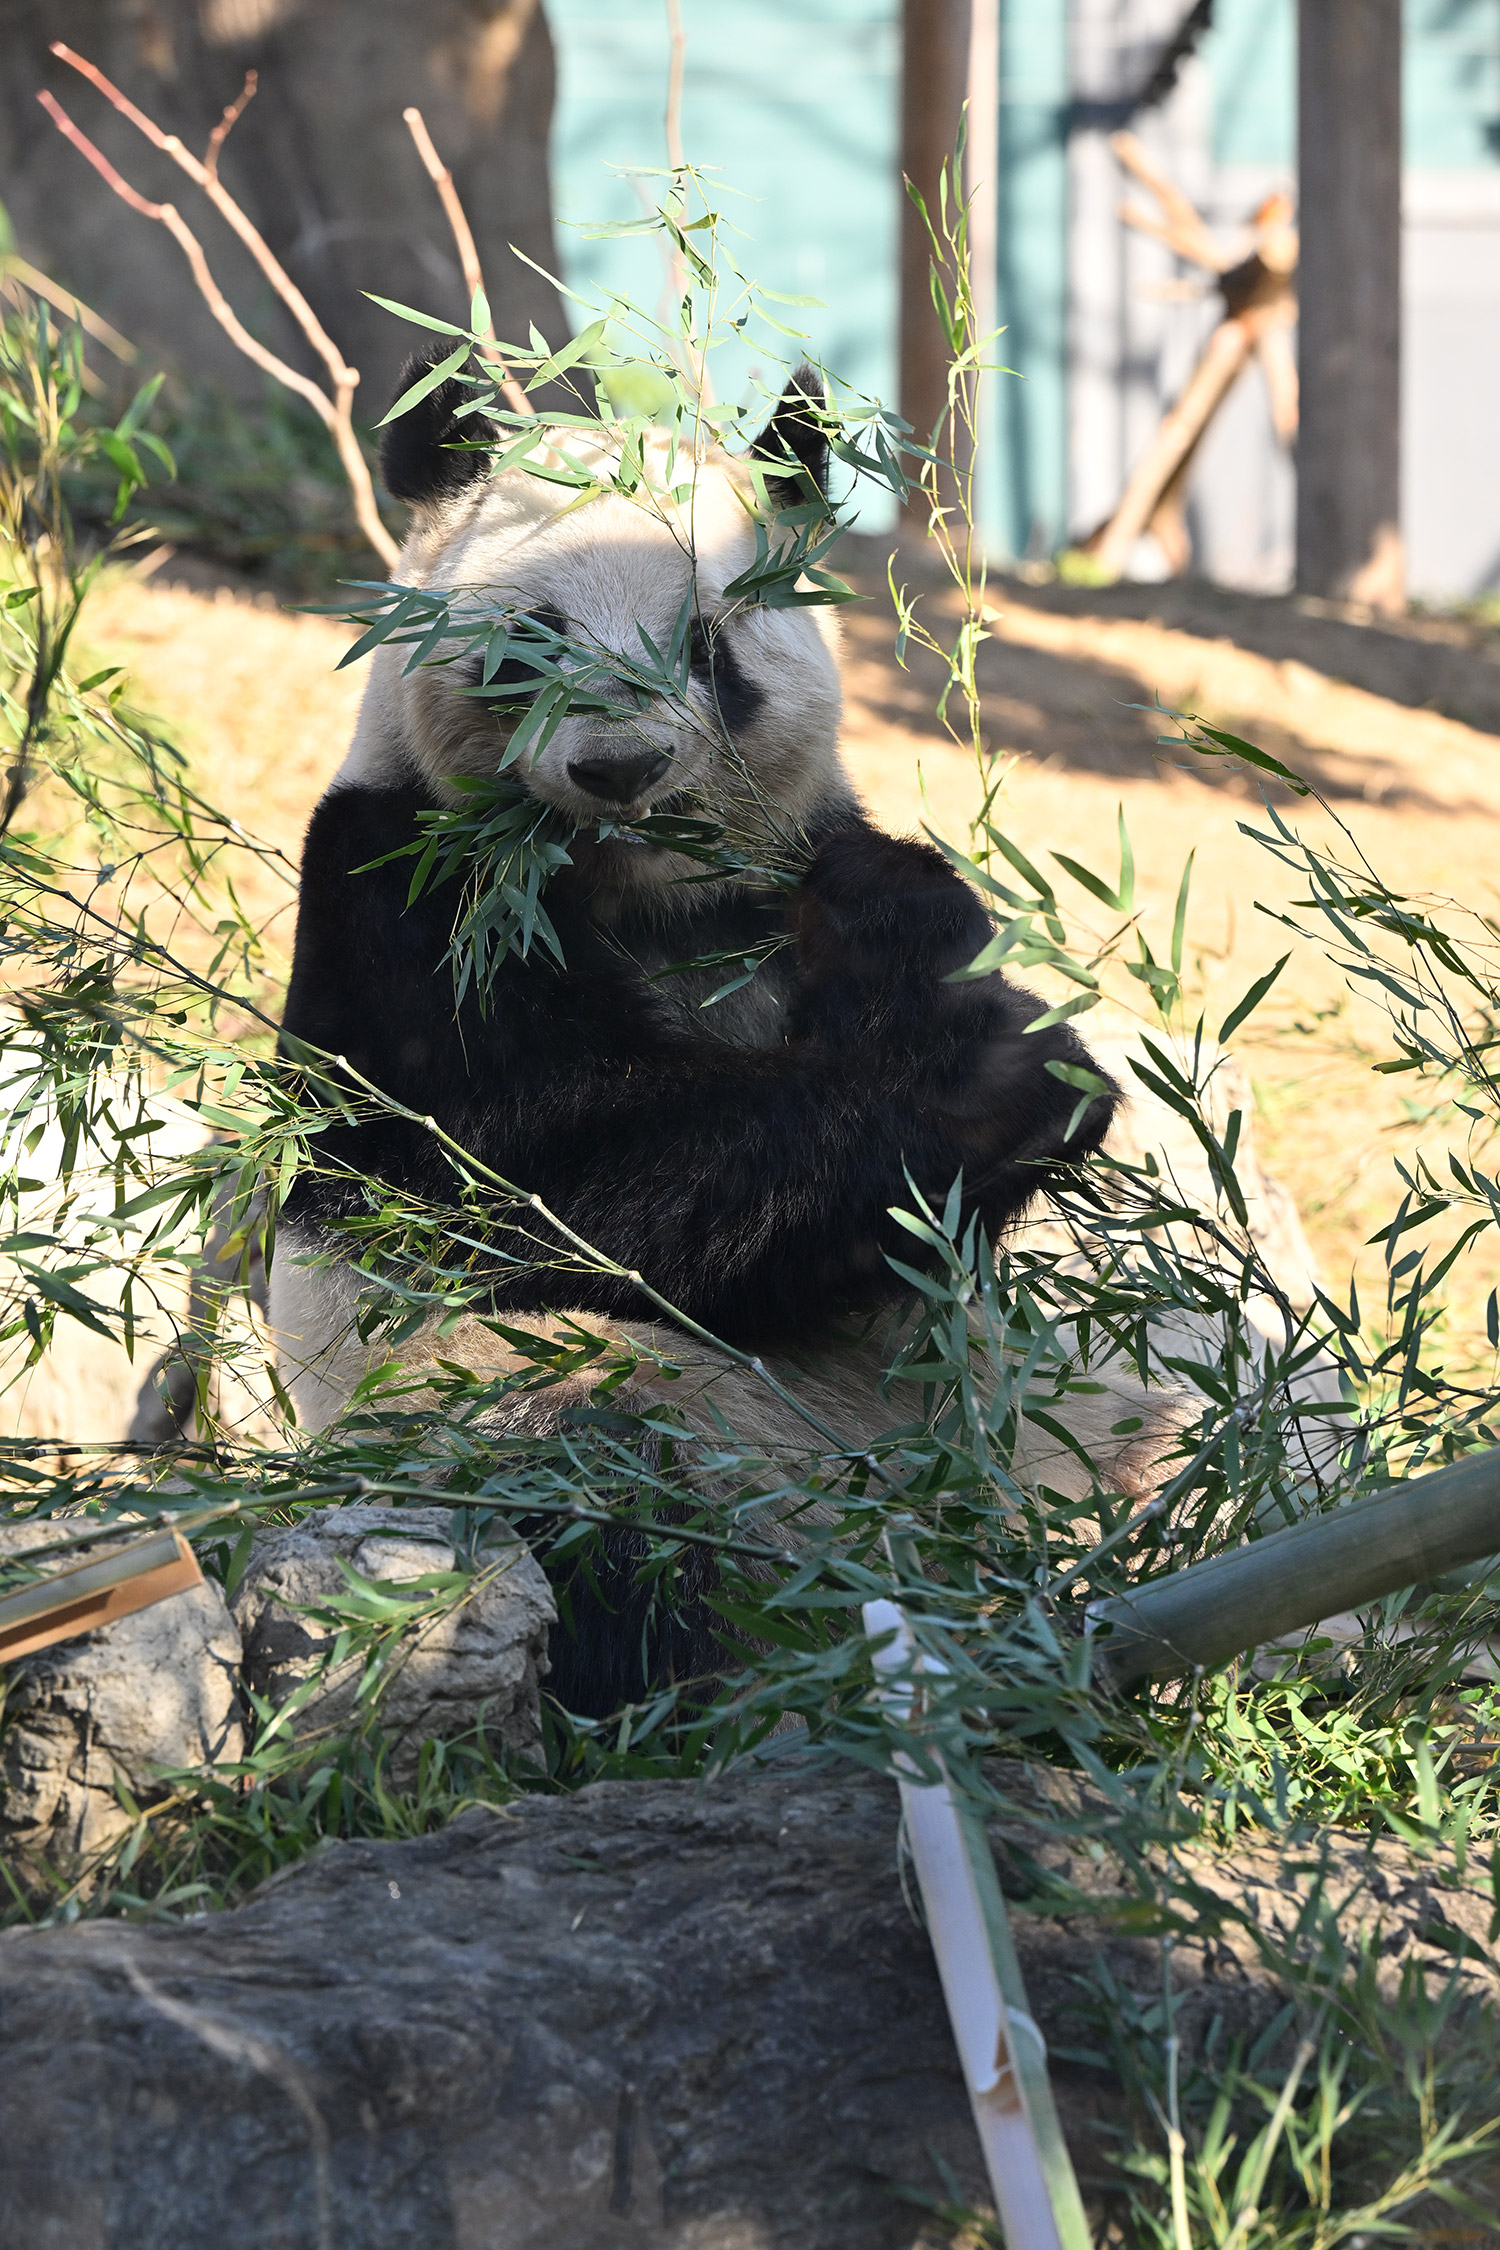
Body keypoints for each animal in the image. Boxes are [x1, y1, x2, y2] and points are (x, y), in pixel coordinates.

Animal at [273, 360, 1137, 1710]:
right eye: (529, 644)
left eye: (704, 643)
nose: (620, 766)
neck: (650, 897)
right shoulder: (401, 901)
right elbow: (523, 1181)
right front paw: (1002, 1085)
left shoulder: (791, 876)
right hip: (532, 1408)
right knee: (606, 1499)